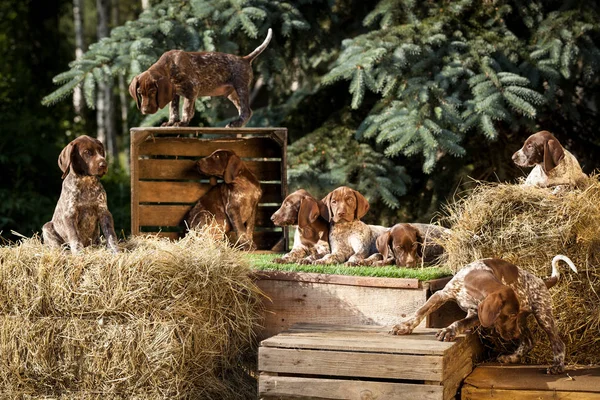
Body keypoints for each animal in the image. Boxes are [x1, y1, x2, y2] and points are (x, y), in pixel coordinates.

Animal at [131, 28, 274, 127]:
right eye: (140, 93)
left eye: (152, 91)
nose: (145, 110)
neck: (170, 65)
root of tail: (245, 59)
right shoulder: (174, 93)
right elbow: (173, 109)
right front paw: (171, 122)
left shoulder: (192, 89)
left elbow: (186, 108)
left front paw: (182, 122)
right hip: (232, 94)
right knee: (246, 111)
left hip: (241, 88)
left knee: (246, 111)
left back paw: (236, 123)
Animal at [440, 180, 600, 368]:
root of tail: (542, 281)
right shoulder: (477, 313)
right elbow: (459, 322)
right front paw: (448, 330)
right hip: (524, 320)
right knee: (528, 342)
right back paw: (511, 357)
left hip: (542, 315)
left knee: (556, 342)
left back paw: (556, 365)